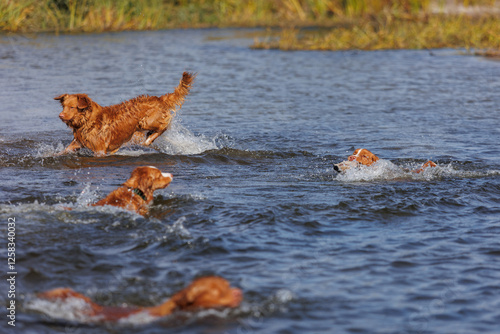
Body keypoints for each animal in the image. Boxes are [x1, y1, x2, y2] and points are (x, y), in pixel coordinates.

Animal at [55, 72, 195, 155]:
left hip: (146, 121)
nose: (60, 115)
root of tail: (159, 98)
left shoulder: (100, 149)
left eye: (72, 107)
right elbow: (65, 150)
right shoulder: (78, 142)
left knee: (163, 126)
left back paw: (149, 139)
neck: (87, 121)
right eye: (64, 106)